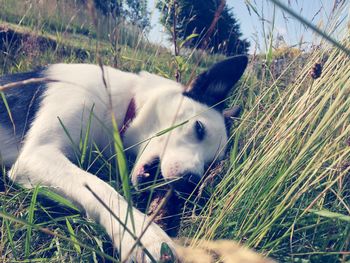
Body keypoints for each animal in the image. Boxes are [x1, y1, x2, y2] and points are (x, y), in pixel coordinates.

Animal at [0, 55, 247, 262]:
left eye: (210, 165)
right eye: (199, 128)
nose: (191, 182)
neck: (122, 103)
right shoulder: (37, 154)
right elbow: (99, 188)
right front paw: (142, 235)